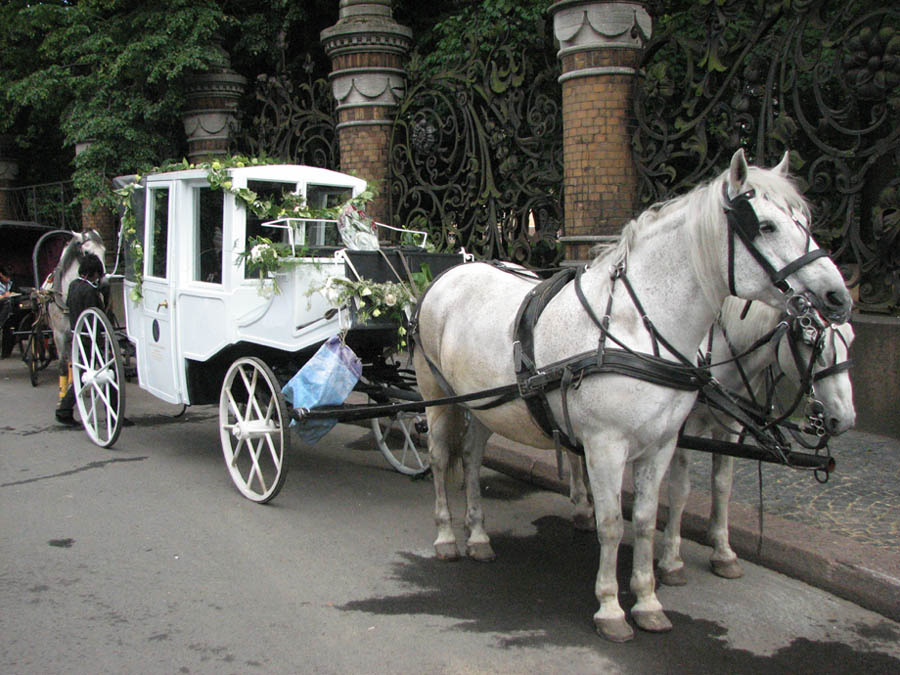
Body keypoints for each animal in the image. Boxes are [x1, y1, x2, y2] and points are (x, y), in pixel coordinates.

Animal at [411, 149, 852, 642]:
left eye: (804, 221)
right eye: (768, 226)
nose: (837, 295)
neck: (637, 326)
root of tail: (450, 273)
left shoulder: (663, 443)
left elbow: (644, 518)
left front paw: (647, 599)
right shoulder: (606, 445)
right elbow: (611, 524)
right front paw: (609, 607)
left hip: (488, 405)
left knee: (471, 457)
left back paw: (479, 536)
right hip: (436, 395)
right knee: (440, 457)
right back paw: (447, 536)